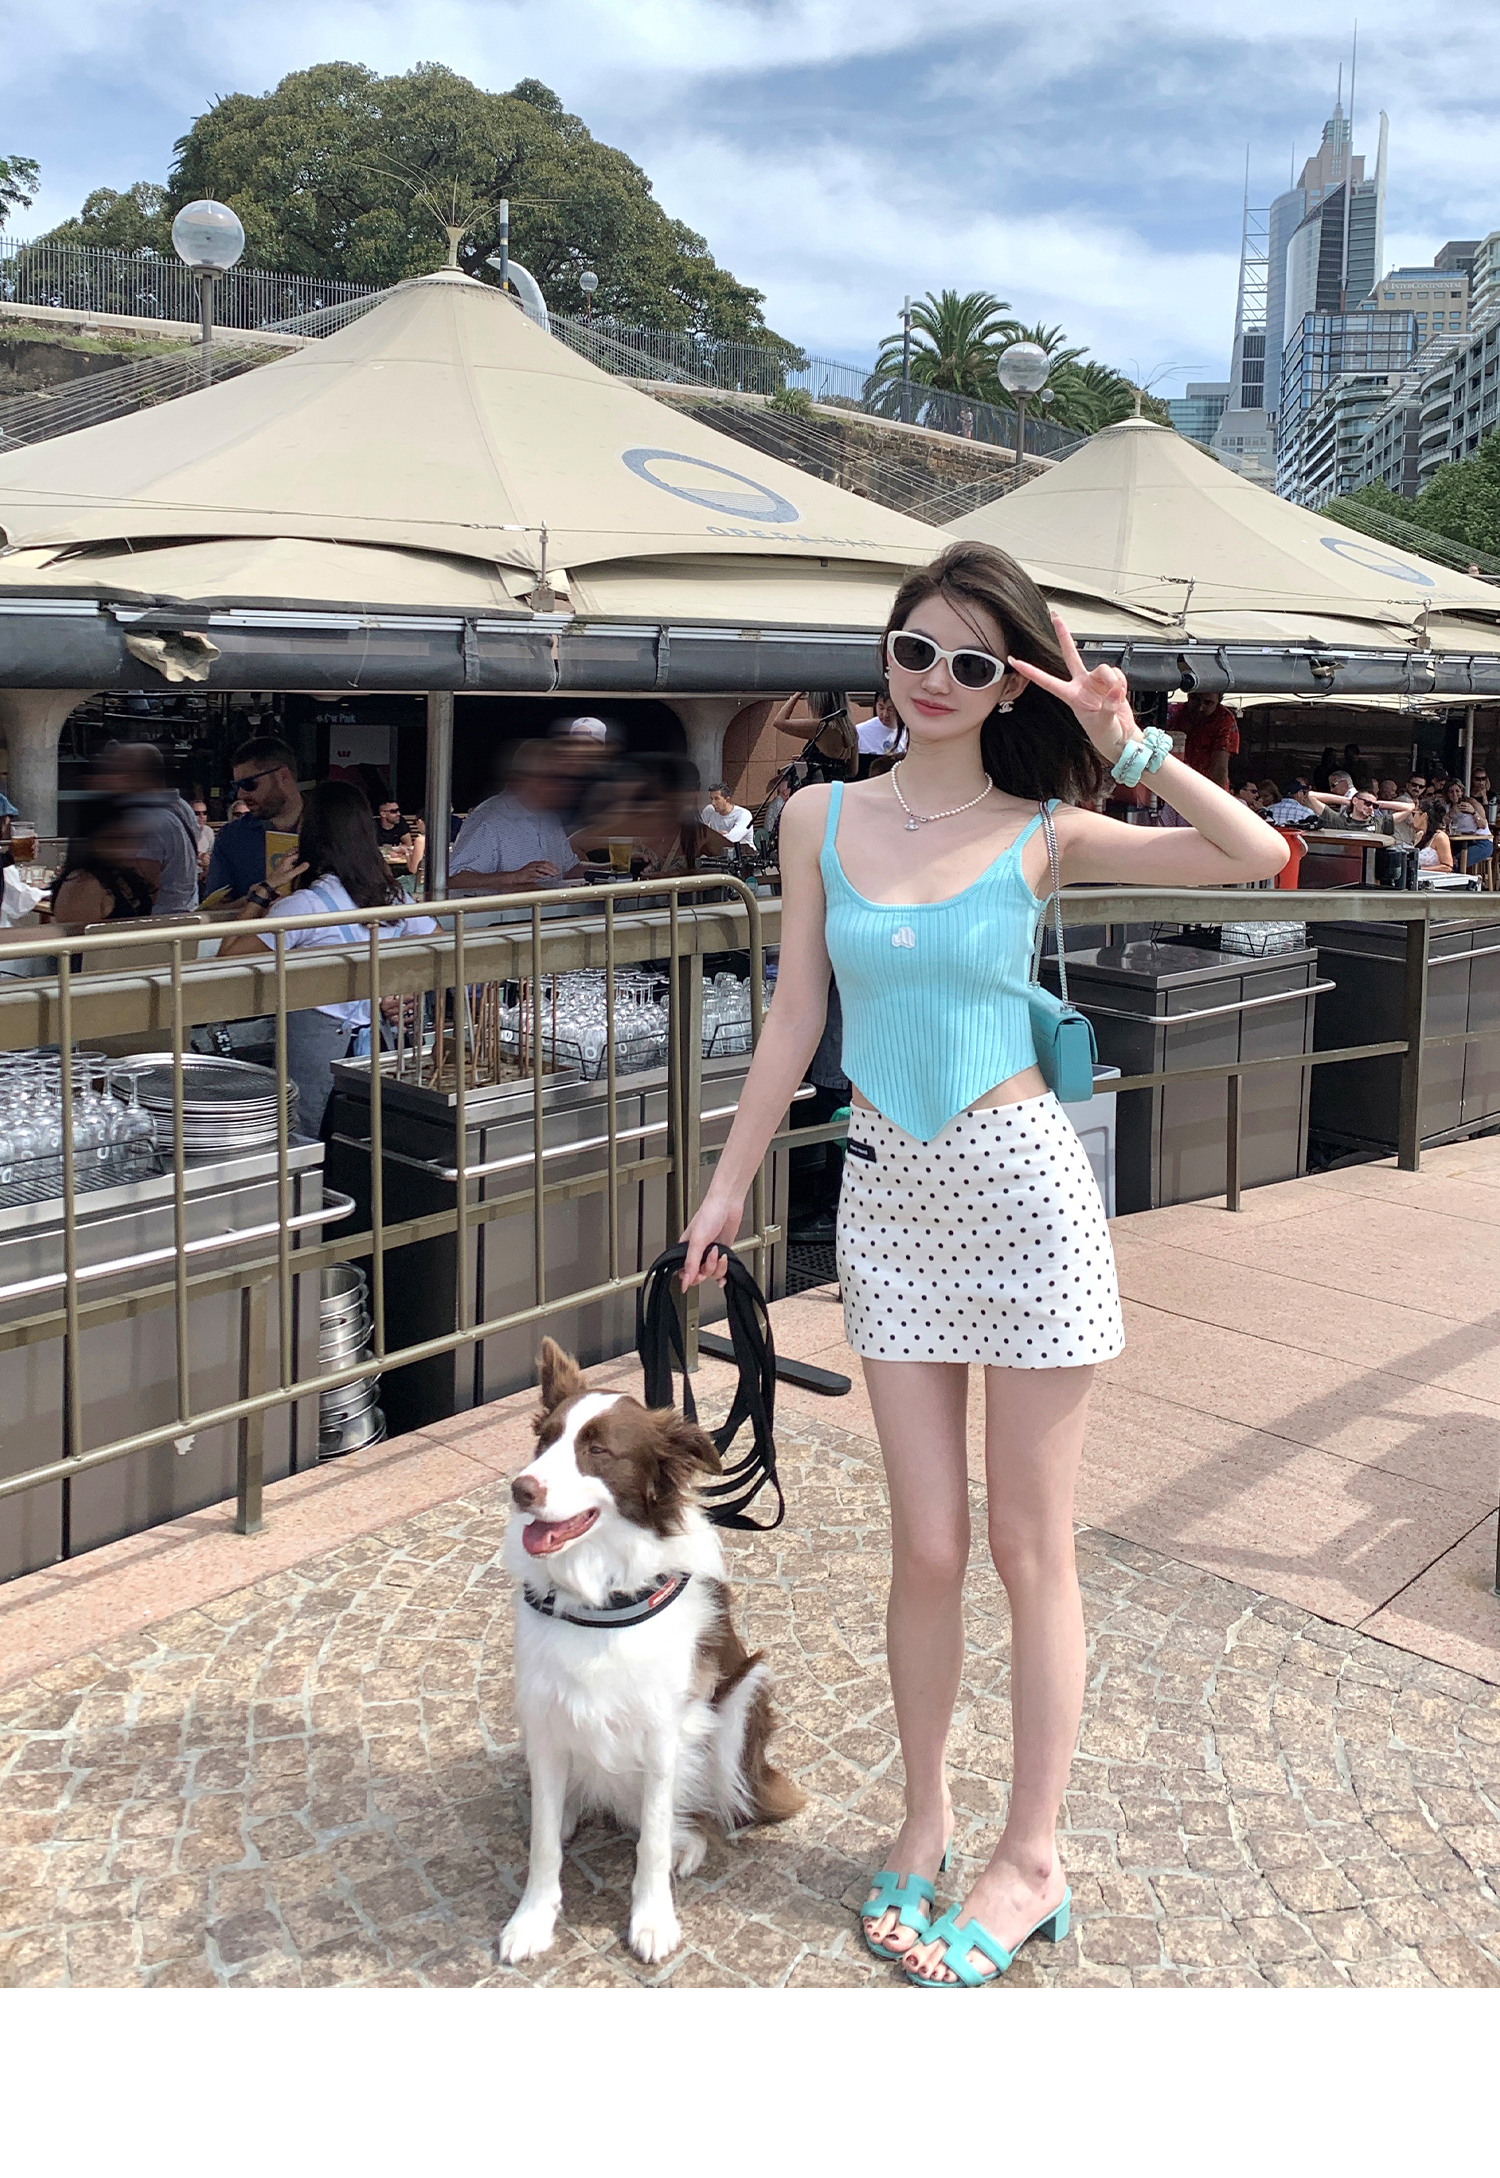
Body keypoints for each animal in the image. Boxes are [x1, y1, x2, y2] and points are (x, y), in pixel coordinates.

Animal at [499, 1337, 804, 1966]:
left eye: (597, 1450)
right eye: (545, 1441)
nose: (522, 1488)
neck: (598, 1594)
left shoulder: (664, 1730)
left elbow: (655, 1838)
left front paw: (652, 1919)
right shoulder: (544, 1716)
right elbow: (543, 1845)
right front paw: (532, 1920)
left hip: (743, 1696)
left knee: (713, 1808)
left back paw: (691, 1839)